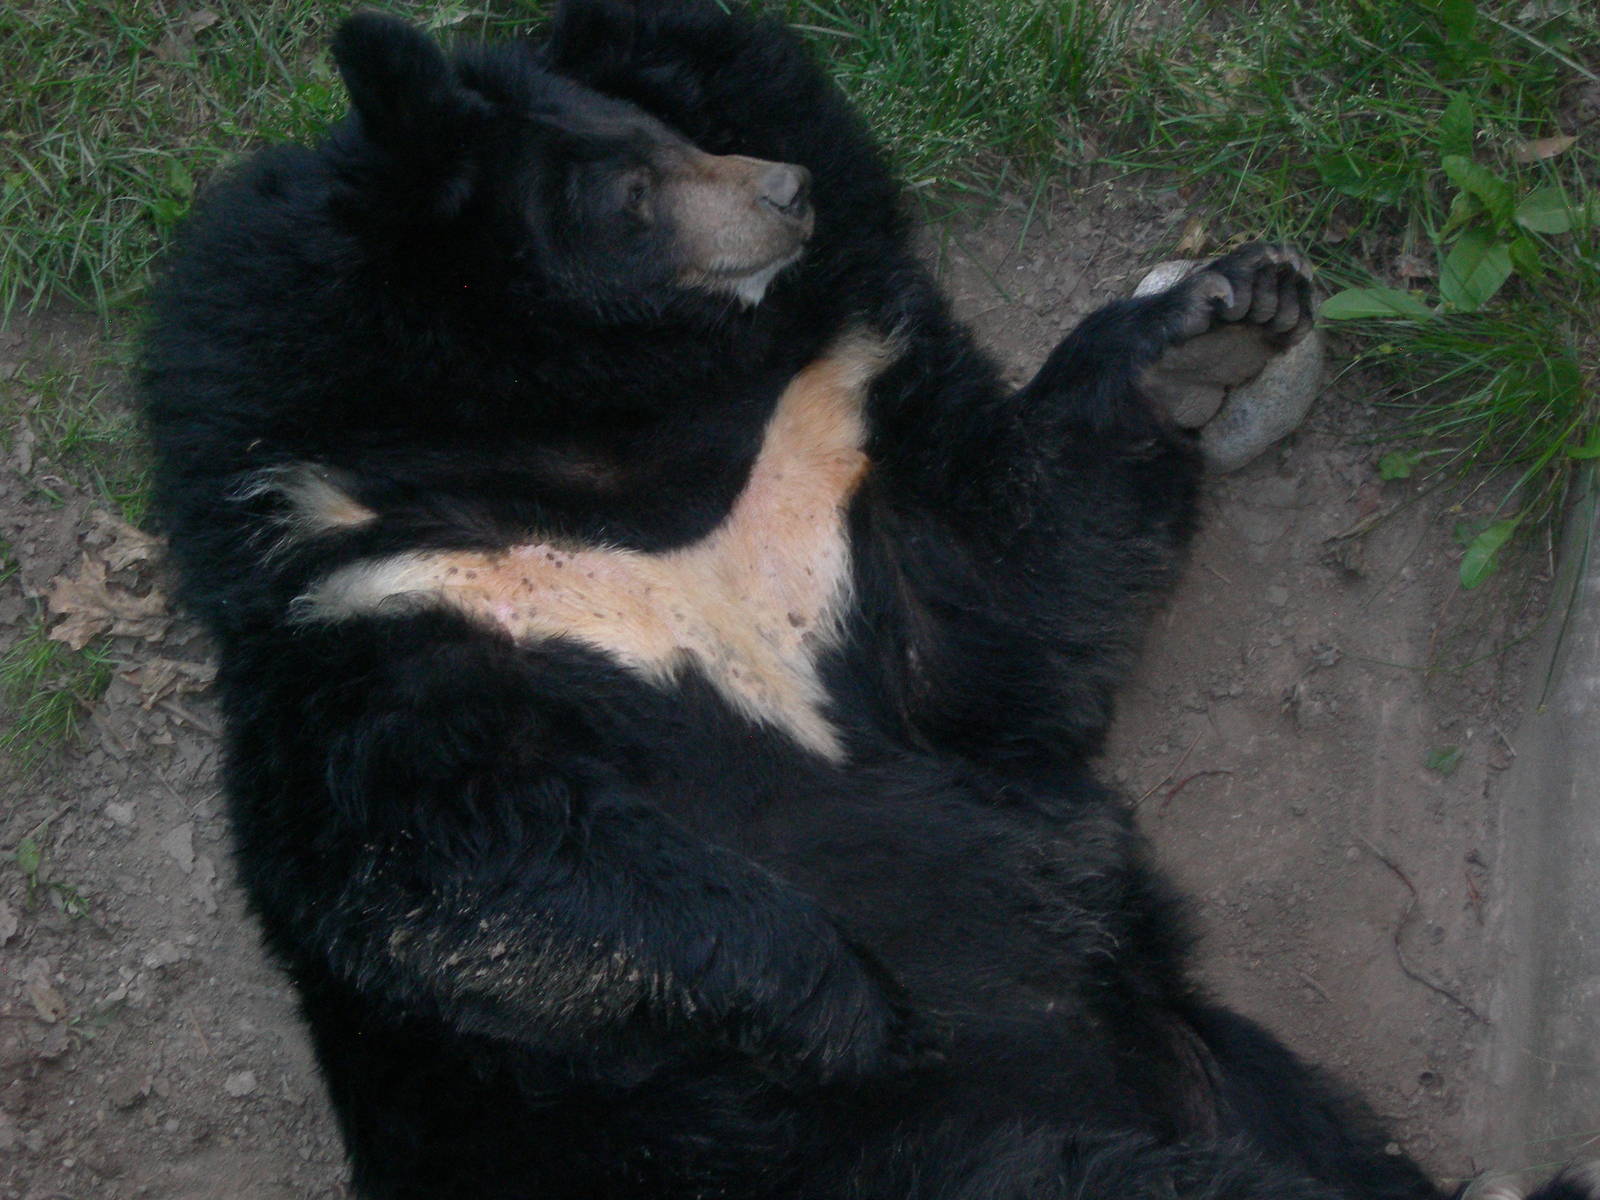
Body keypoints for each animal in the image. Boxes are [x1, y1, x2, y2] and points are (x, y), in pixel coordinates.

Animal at [139, 2, 1586, 1198]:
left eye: (669, 133)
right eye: (628, 190)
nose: (787, 192)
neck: (606, 456)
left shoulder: (817, 492)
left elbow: (999, 601)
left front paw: (1217, 319)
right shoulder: (369, 606)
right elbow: (448, 854)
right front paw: (844, 1000)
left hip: (1241, 1077)